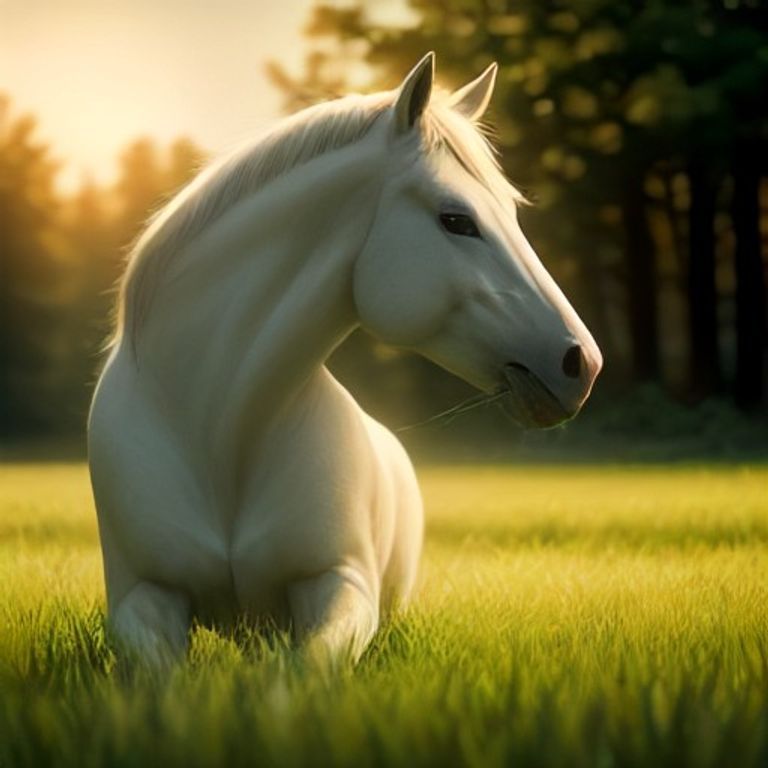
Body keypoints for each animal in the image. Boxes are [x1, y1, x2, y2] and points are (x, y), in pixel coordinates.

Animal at [88, 53, 602, 666]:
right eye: (456, 219)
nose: (581, 363)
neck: (216, 431)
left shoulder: (339, 585)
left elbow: (308, 666)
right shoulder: (143, 597)